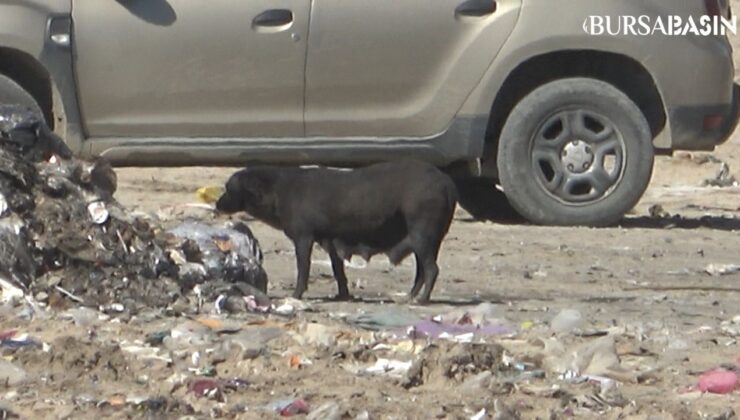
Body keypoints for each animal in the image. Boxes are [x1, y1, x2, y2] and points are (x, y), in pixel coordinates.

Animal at [214, 160, 456, 302]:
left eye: (228, 187)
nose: (216, 205)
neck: (278, 190)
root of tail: (446, 183)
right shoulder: (331, 241)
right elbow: (338, 270)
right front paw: (343, 295)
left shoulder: (303, 238)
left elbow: (303, 269)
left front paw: (296, 295)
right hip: (427, 240)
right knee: (422, 271)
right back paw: (410, 296)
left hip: (423, 235)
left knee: (431, 270)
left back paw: (422, 299)